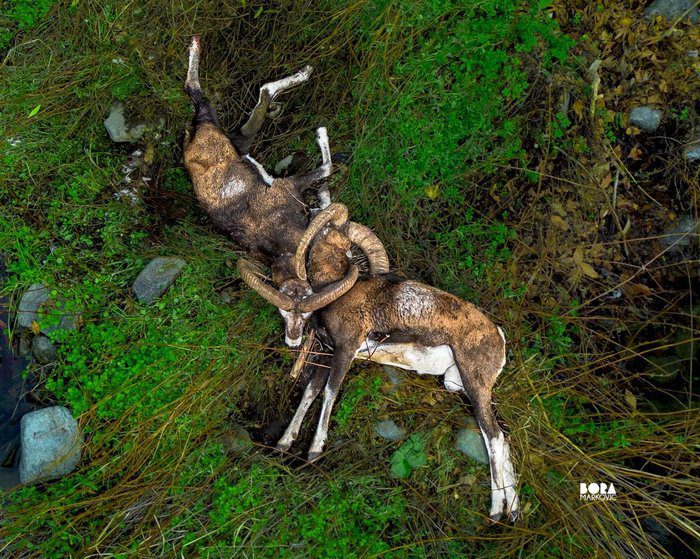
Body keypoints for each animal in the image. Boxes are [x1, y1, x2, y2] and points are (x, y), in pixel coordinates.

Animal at [182, 35, 389, 344]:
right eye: (282, 314)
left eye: (307, 313)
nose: (293, 341)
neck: (279, 236)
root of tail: (192, 143)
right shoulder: (291, 186)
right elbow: (326, 171)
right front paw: (321, 135)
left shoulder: (293, 188)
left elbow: (325, 175)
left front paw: (320, 136)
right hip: (214, 125)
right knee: (203, 92)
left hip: (231, 138)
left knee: (251, 97)